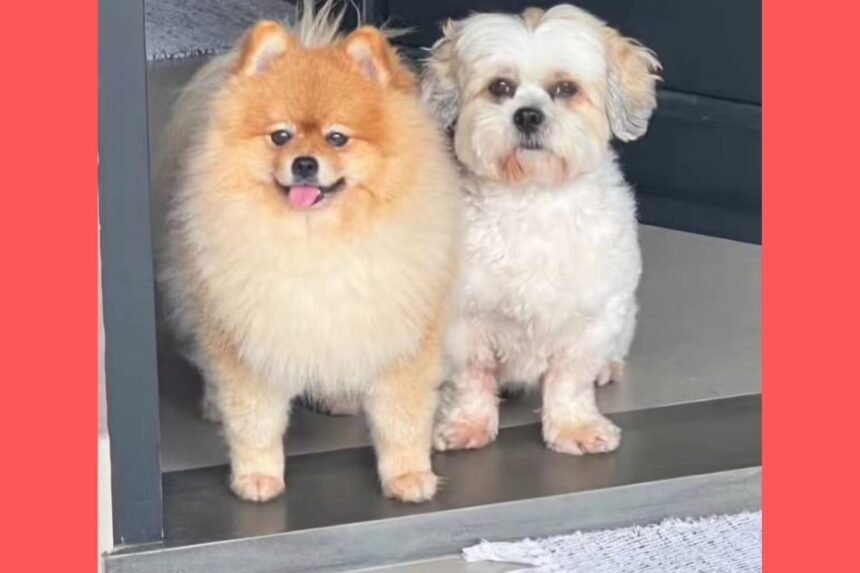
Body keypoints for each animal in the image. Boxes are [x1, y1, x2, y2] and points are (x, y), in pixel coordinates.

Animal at [157, 2, 460, 500]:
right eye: (280, 136)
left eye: (338, 138)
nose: (303, 163)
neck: (317, 243)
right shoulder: (251, 337)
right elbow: (255, 420)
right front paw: (257, 476)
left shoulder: (400, 334)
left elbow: (402, 416)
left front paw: (408, 476)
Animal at [422, 3, 660, 452]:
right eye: (500, 87)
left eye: (565, 89)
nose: (528, 115)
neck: (533, 199)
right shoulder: (463, 322)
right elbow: (471, 379)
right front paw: (467, 424)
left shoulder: (591, 316)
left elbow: (570, 379)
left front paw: (574, 427)